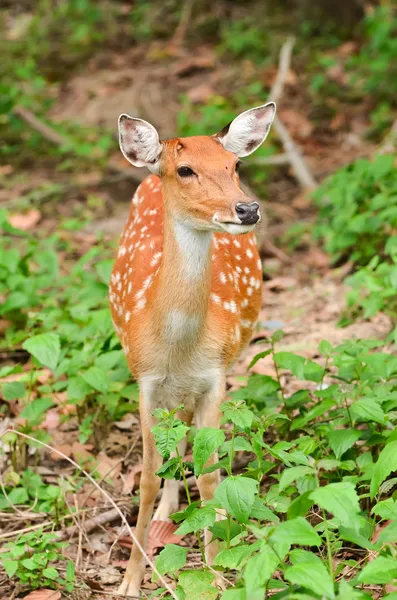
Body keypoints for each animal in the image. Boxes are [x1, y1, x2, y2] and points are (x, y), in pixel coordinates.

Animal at [108, 103, 276, 596]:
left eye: (235, 165)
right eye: (185, 170)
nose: (247, 208)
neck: (177, 346)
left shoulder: (214, 376)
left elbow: (211, 475)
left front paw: (217, 567)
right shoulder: (143, 381)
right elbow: (145, 478)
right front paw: (130, 580)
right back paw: (164, 517)